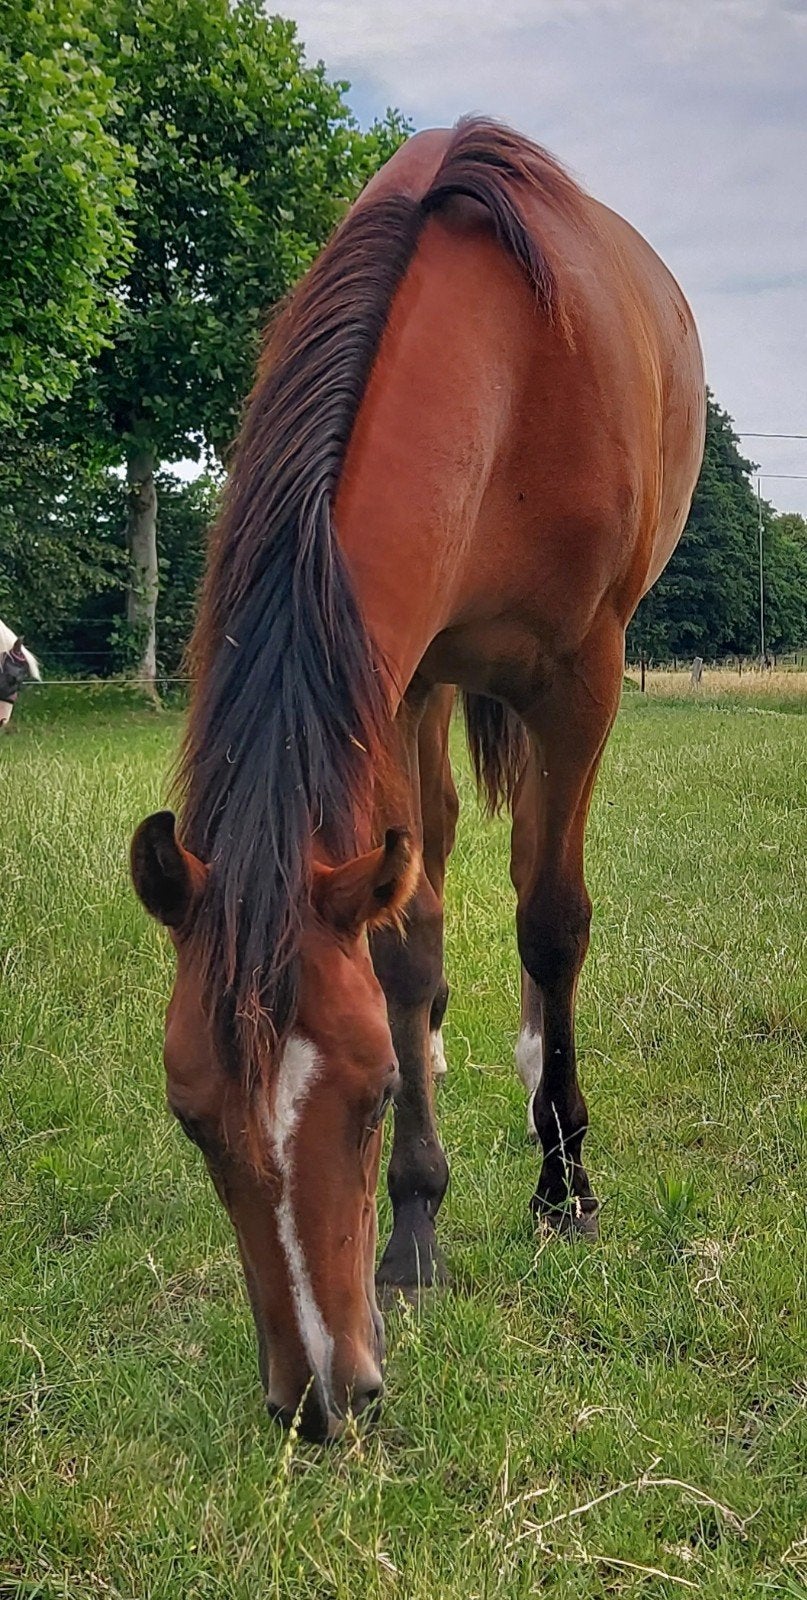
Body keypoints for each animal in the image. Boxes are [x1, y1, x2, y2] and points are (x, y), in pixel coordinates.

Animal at [130, 119, 705, 1442]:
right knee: (426, 869)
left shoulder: (583, 679)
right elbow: (400, 945)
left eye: (367, 1093)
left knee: (537, 905)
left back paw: (545, 1099)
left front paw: (564, 1185)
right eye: (190, 1116)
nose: (319, 1397)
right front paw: (416, 1224)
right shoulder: (389, 677)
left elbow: (553, 921)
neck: (513, 370)